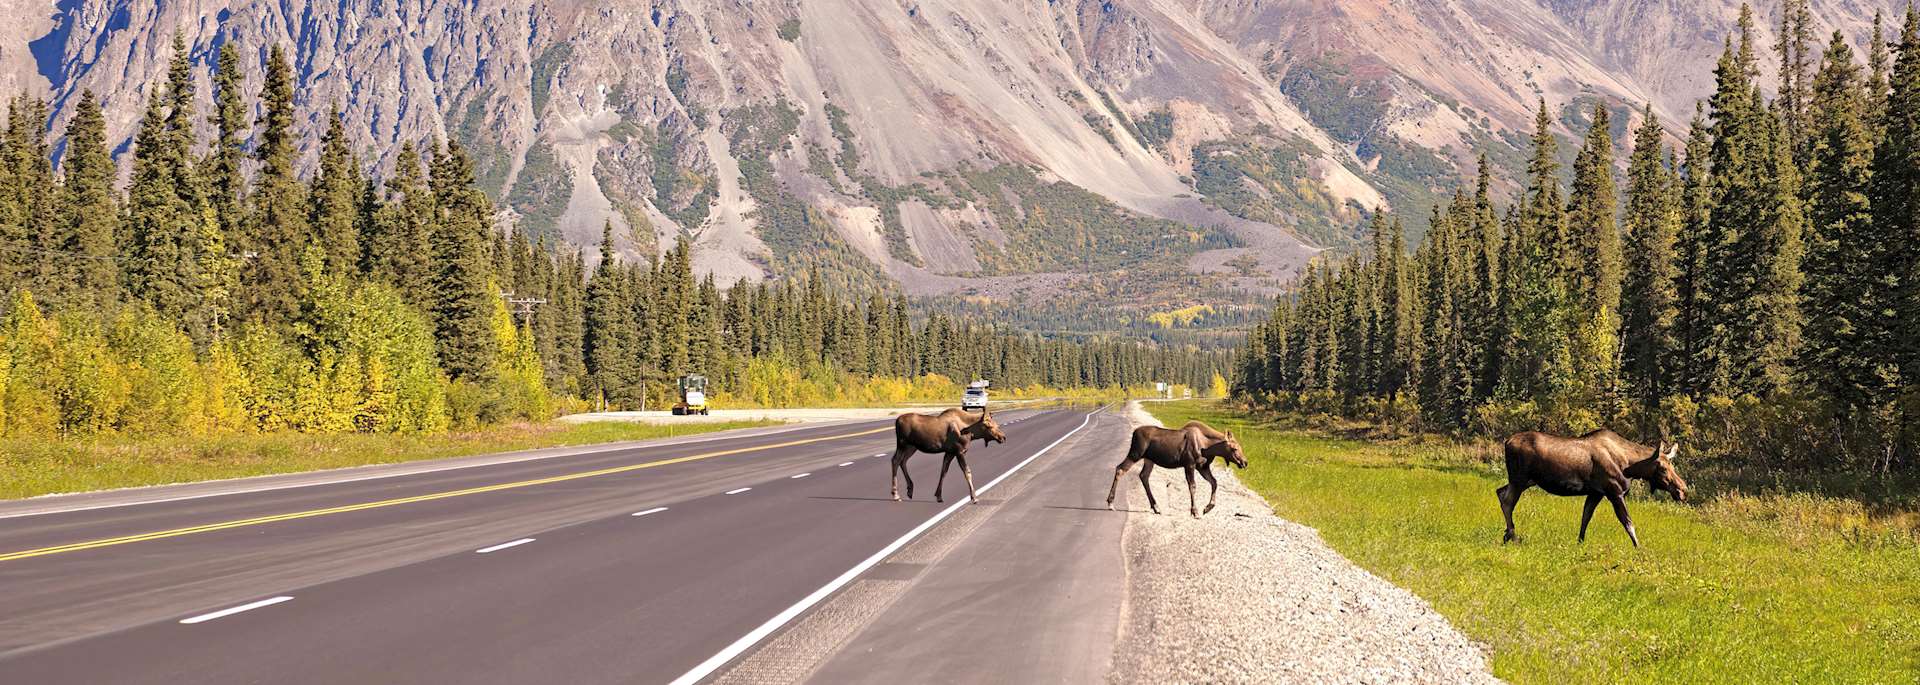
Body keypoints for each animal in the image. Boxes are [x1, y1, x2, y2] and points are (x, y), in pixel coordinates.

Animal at [1106, 420, 1247, 517]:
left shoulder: (1202, 467)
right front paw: (1195, 511)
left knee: (1143, 476)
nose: (1245, 462)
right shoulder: (1189, 464)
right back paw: (1110, 503)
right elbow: (1193, 486)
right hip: (1135, 453)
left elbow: (1214, 482)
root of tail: (1134, 433)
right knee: (1120, 469)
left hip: (1149, 460)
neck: (1208, 447)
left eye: (1241, 447)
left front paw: (1207, 507)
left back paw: (1156, 507)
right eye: (1234, 448)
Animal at [1497, 430, 1690, 547]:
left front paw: (1580, 543)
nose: (1683, 490)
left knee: (1500, 491)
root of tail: (1507, 442)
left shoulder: (1596, 493)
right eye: (1663, 469)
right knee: (1507, 501)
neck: (1629, 466)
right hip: (1519, 479)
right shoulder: (1615, 492)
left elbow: (1585, 518)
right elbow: (1628, 522)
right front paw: (1638, 548)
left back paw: (1507, 534)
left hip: (1525, 481)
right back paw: (1512, 536)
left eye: (1672, 466)